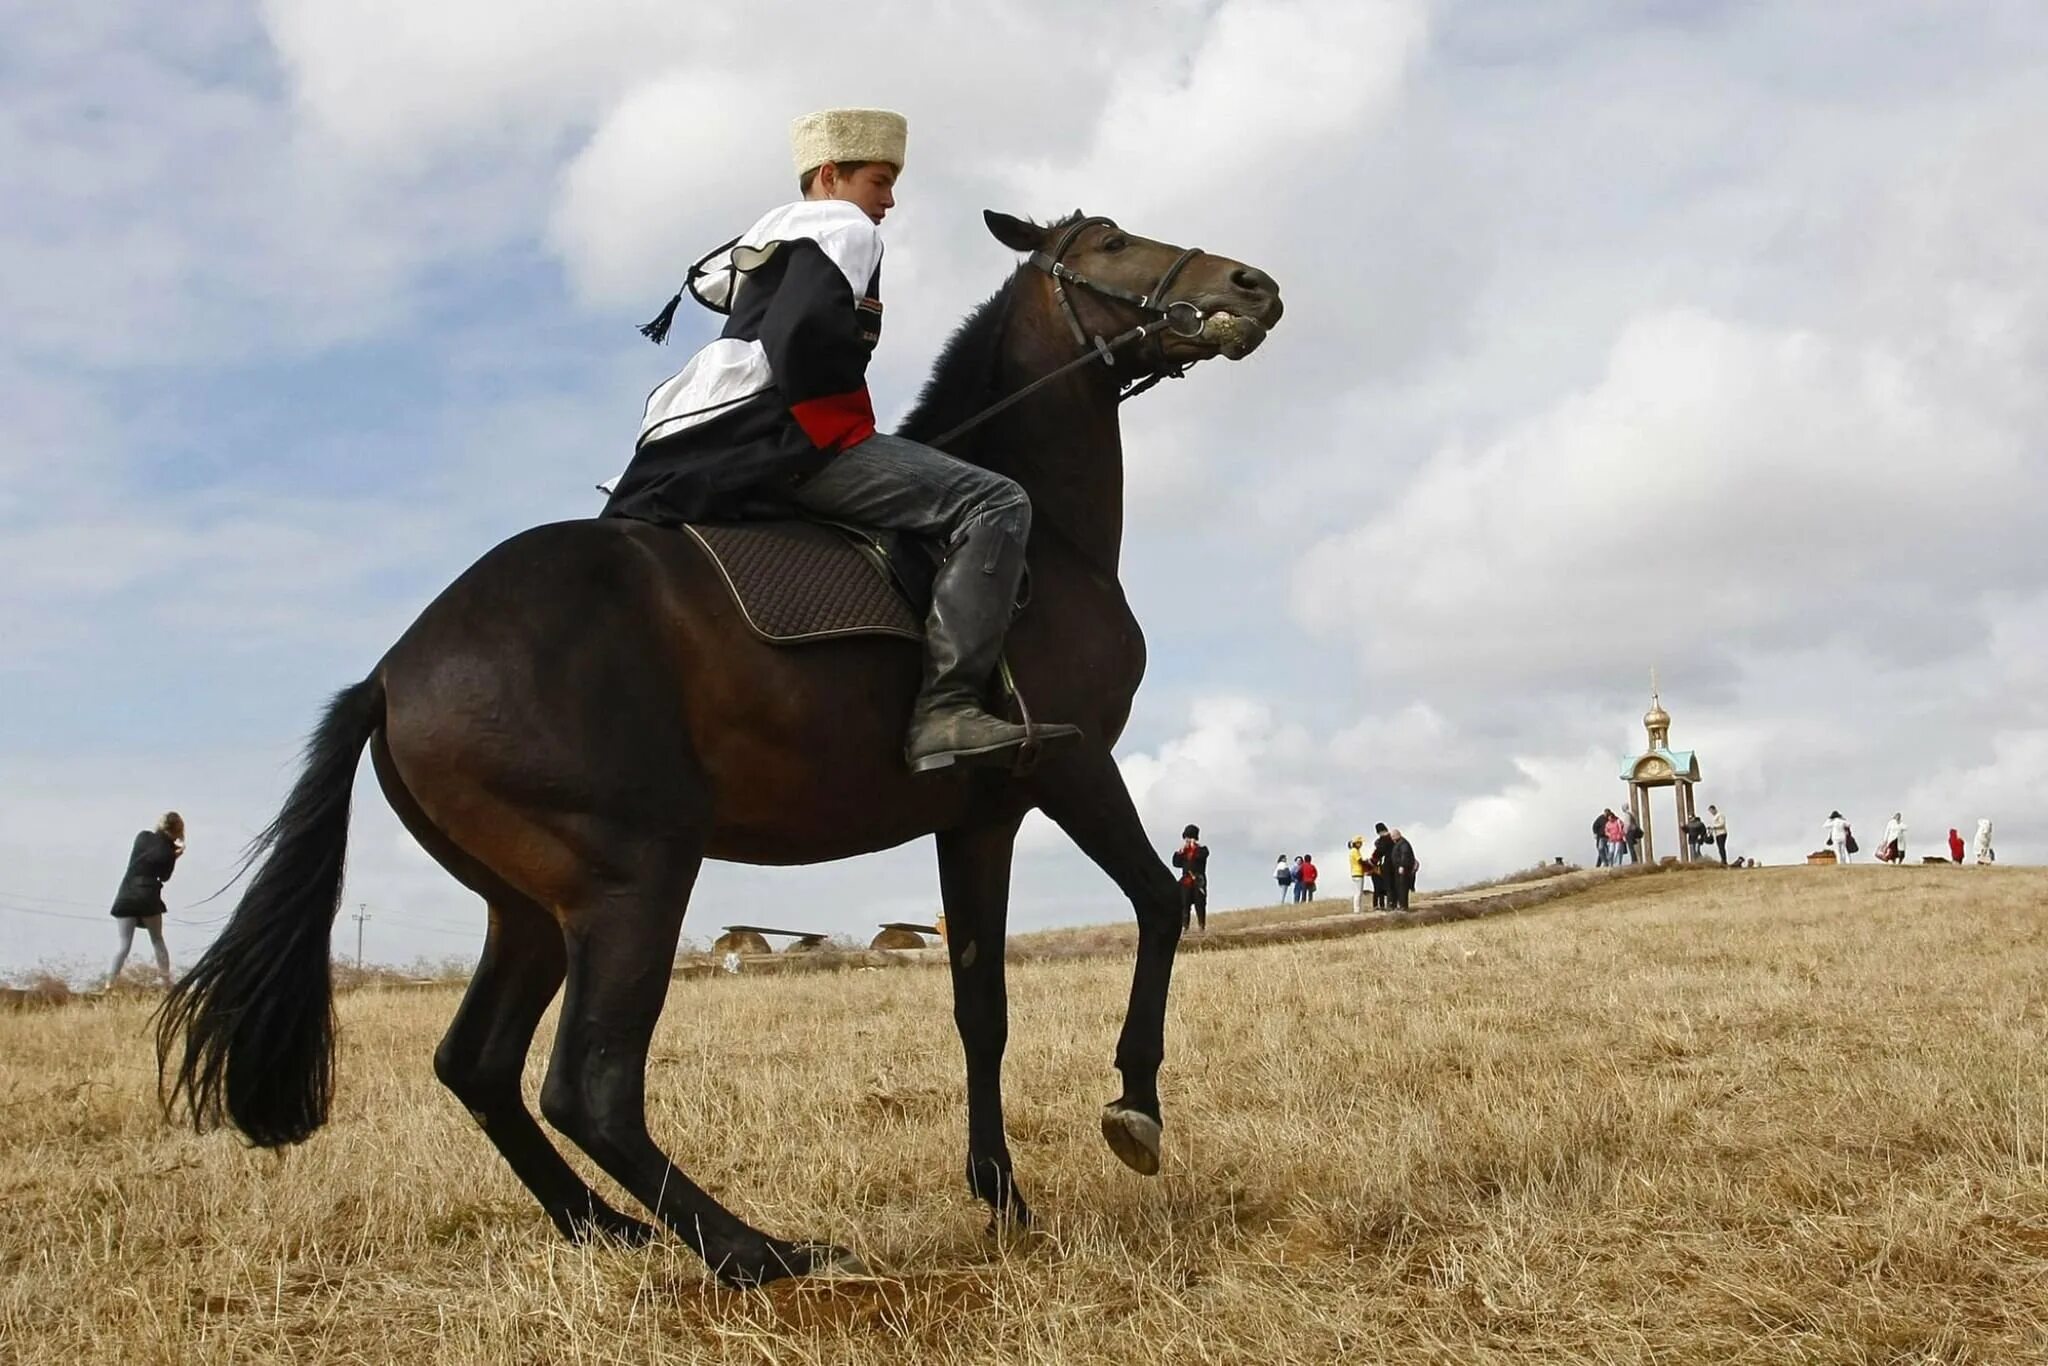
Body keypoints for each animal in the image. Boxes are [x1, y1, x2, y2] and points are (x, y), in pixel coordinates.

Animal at [159, 208, 1277, 1286]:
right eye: (1109, 242)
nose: (1251, 284)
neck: (1044, 531)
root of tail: (392, 671)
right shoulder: (1071, 768)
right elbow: (1158, 903)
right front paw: (1134, 1110)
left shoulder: (977, 821)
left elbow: (980, 1009)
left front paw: (1002, 1197)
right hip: (634, 880)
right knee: (588, 1088)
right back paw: (754, 1252)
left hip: (529, 911)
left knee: (476, 1065)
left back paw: (605, 1227)